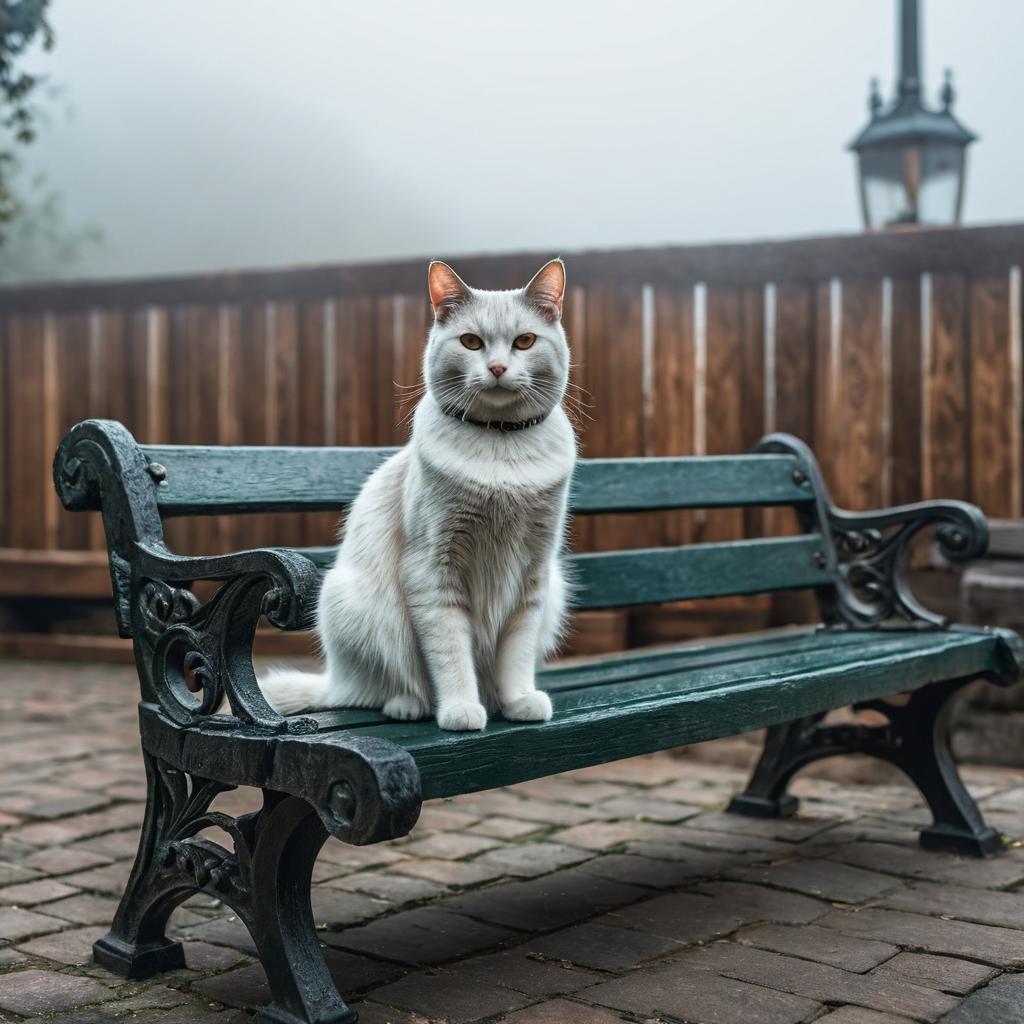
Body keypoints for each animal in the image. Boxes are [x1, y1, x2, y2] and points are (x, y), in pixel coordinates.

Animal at [258, 262, 577, 729]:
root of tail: (334, 682)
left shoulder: (533, 574)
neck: (500, 446)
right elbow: (450, 654)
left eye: (524, 341)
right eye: (471, 342)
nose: (498, 367)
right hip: (356, 605)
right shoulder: (433, 572)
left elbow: (516, 654)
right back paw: (410, 705)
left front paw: (519, 700)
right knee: (384, 689)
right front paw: (461, 709)